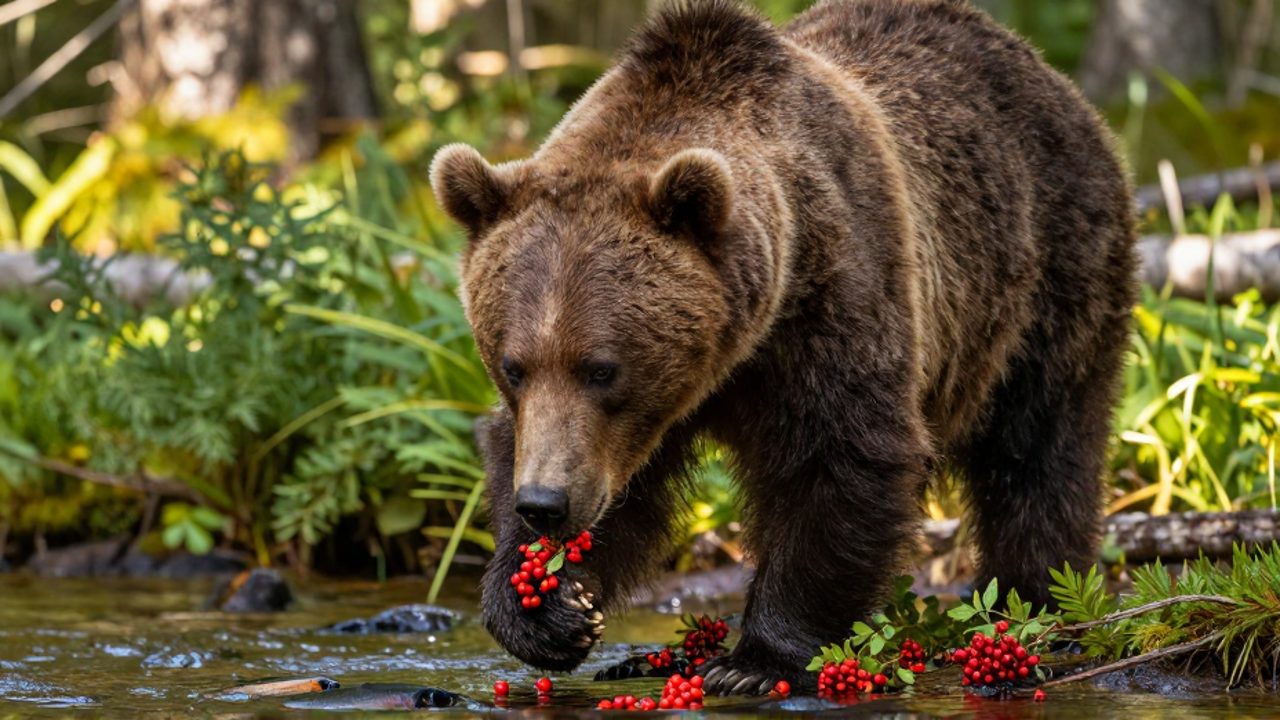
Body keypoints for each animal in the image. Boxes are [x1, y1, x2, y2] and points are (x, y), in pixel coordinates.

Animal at [429, 0, 1136, 694]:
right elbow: (587, 475)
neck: (735, 350)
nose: (545, 503)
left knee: (1040, 448)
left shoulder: (832, 298)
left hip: (1049, 269)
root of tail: (1049, 76)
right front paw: (548, 609)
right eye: (513, 366)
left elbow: (838, 458)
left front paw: (755, 661)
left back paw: (1037, 604)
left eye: (602, 369)